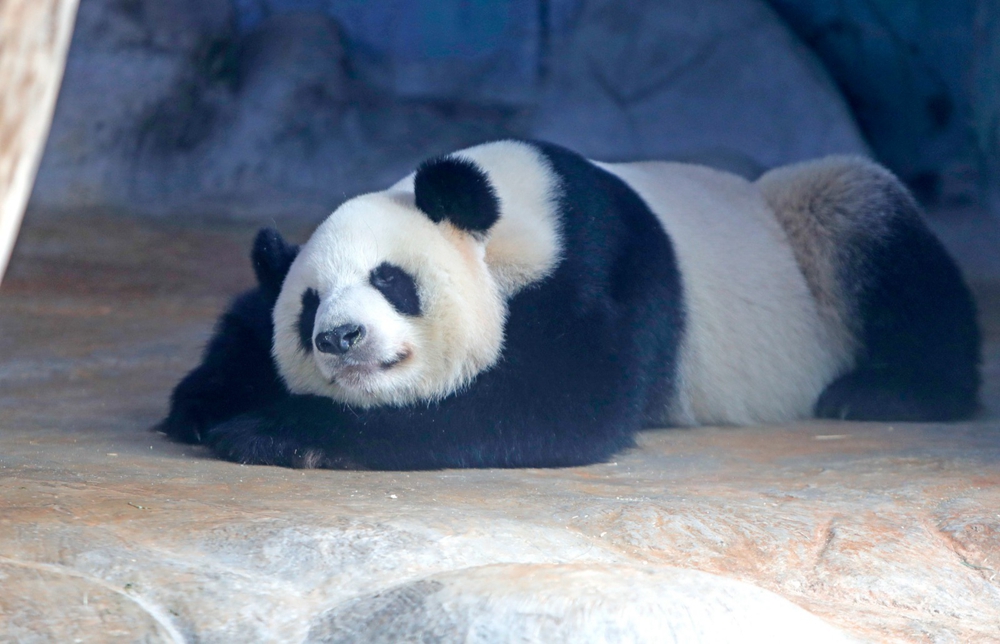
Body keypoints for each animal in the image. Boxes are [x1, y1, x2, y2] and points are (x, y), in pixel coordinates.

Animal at [160, 140, 980, 468]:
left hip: (812, 230)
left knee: (867, 218)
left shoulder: (596, 270)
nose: (341, 337)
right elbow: (243, 315)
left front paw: (273, 431)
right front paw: (204, 404)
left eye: (392, 280)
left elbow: (551, 403)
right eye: (308, 308)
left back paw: (885, 392)